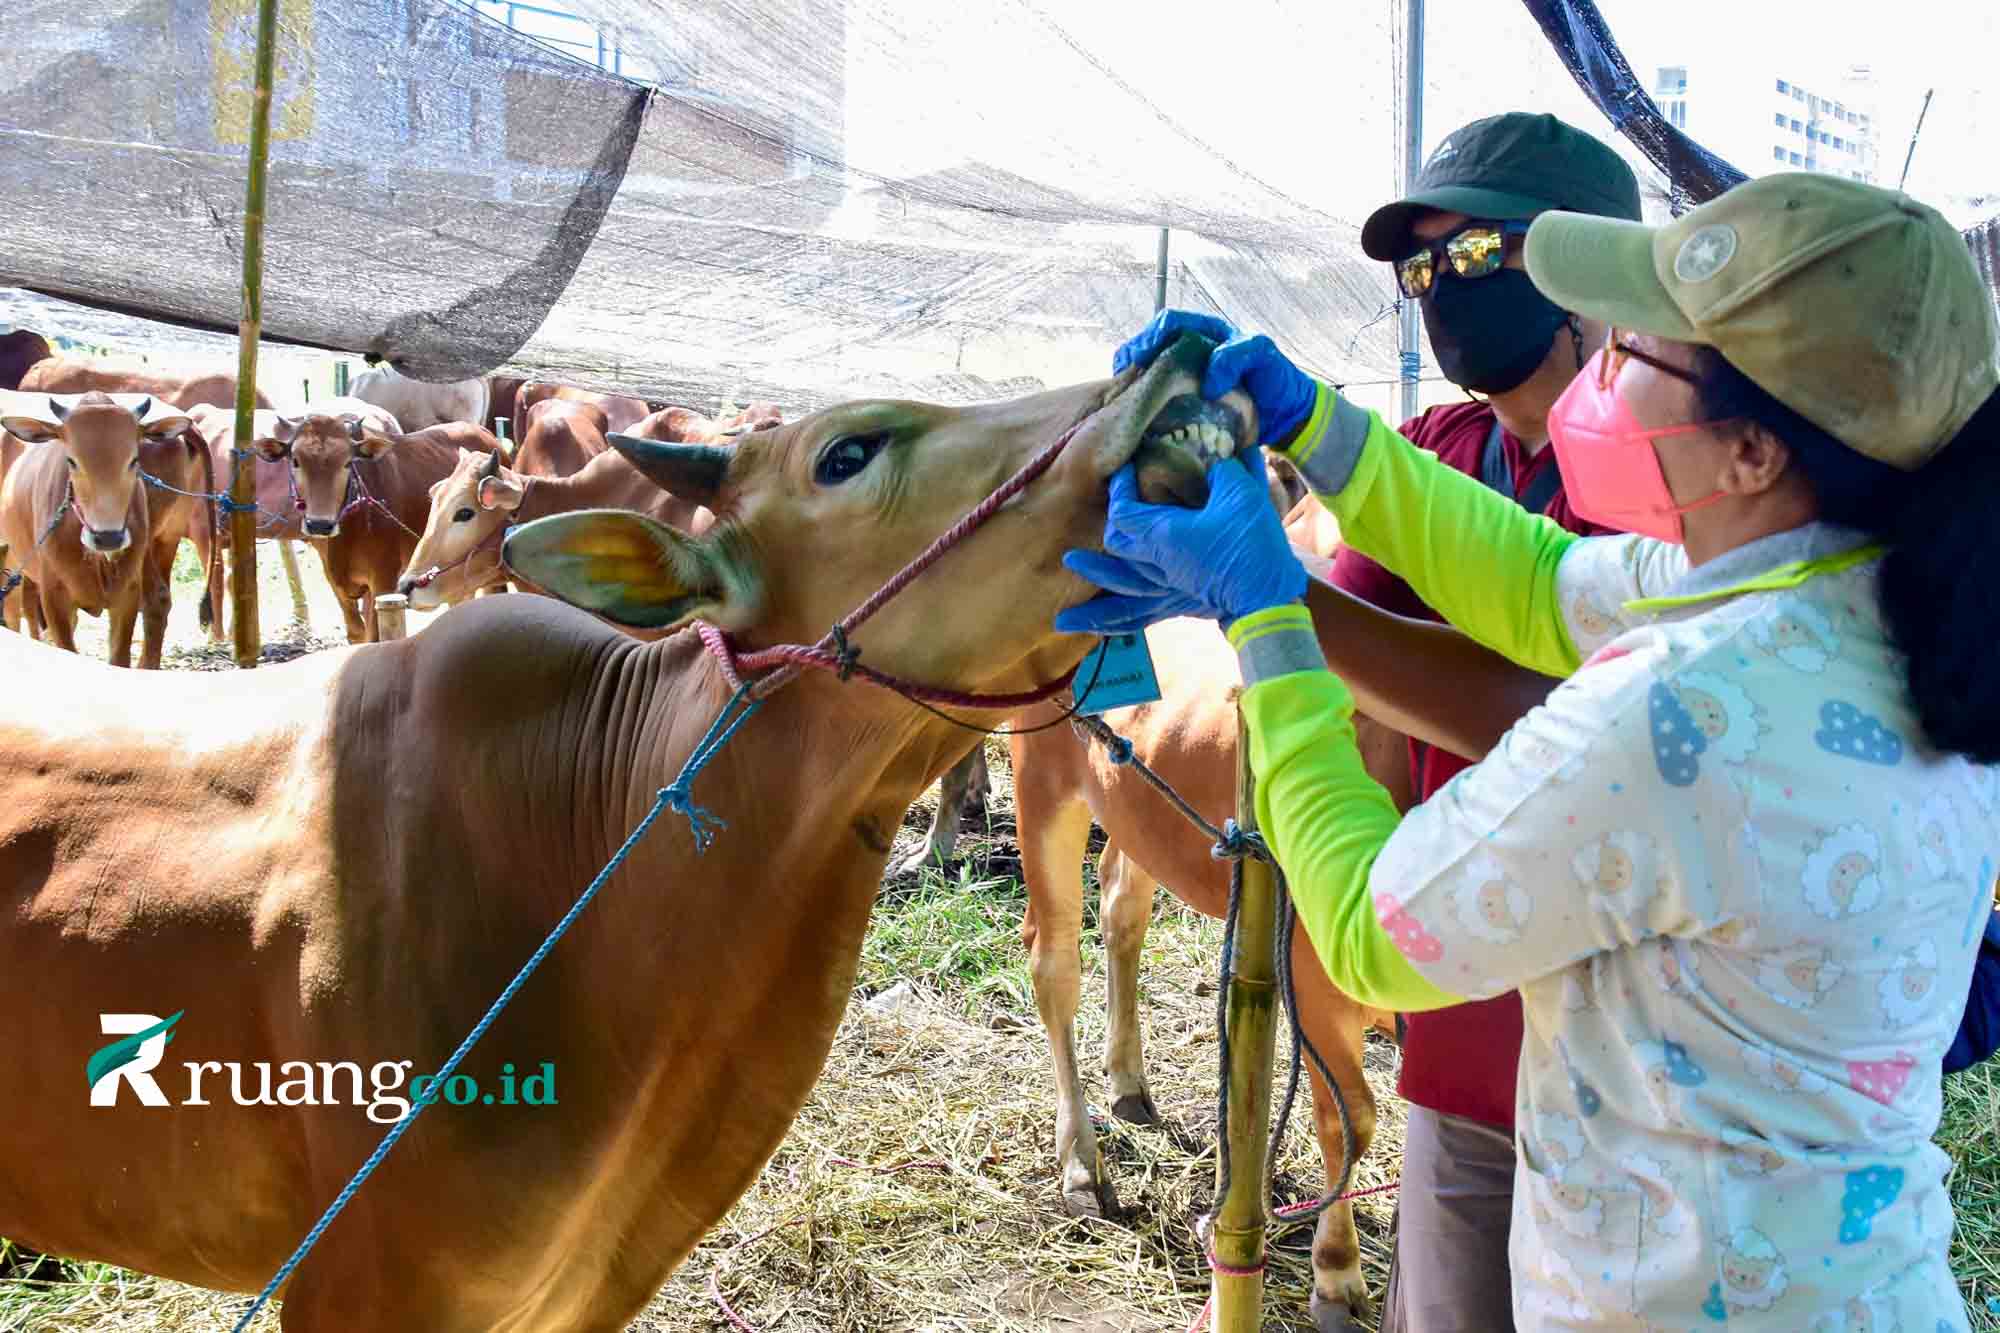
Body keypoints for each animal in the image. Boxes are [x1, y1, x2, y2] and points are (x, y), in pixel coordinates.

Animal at [254, 416, 488, 644]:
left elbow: (375, 637)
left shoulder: (383, 578)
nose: (319, 524)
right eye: (295, 461)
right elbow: (356, 633)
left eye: (348, 462)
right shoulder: (335, 580)